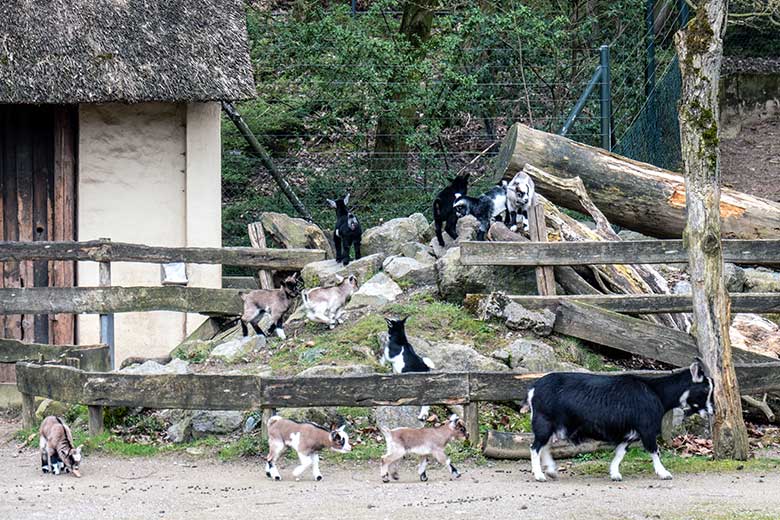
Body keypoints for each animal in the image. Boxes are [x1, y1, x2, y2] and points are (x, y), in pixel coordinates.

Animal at [528, 360, 716, 482]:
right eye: (705, 389)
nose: (713, 411)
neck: (657, 393)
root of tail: (533, 389)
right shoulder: (647, 428)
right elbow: (654, 450)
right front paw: (664, 473)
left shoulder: (630, 433)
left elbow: (620, 453)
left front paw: (615, 474)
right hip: (544, 422)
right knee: (535, 447)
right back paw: (539, 475)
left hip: (552, 425)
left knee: (545, 445)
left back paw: (551, 471)